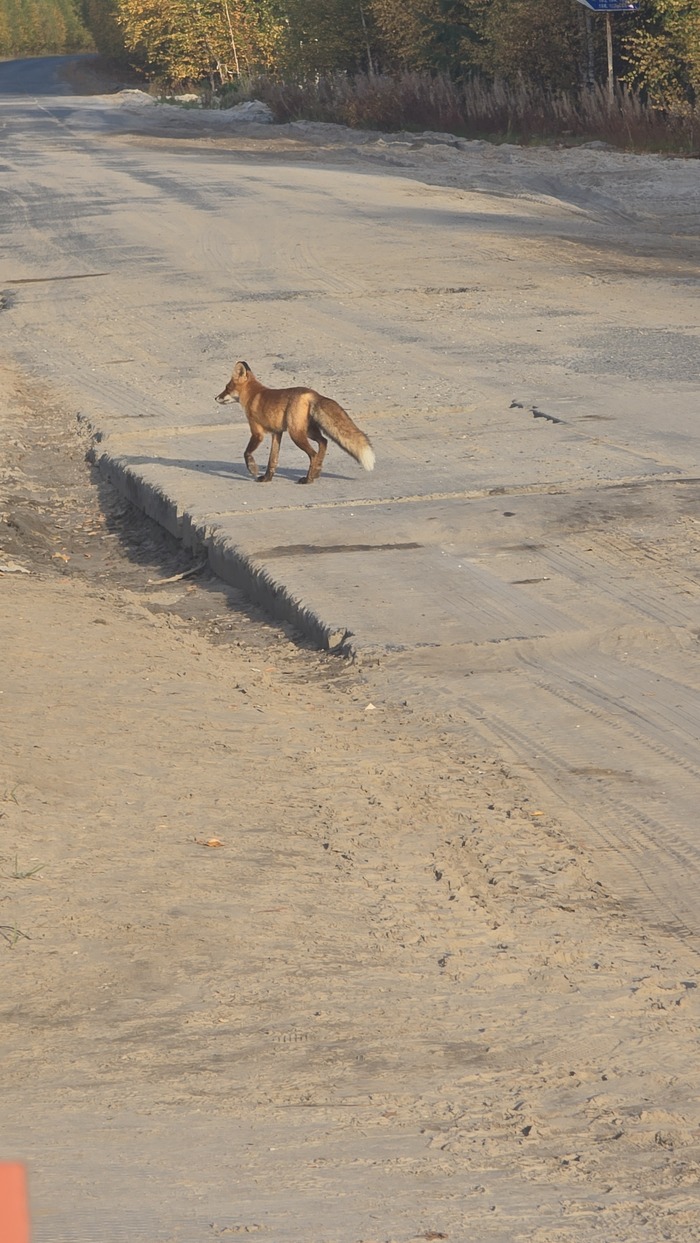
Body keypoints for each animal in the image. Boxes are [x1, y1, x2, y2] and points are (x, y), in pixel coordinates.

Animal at [215, 361, 375, 485]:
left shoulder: (257, 433)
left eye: (227, 388)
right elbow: (272, 460)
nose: (215, 398)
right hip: (308, 431)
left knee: (314, 453)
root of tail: (313, 393)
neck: (253, 395)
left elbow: (247, 453)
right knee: (323, 442)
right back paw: (316, 472)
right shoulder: (277, 433)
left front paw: (252, 469)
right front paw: (267, 478)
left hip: (296, 434)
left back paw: (308, 479)